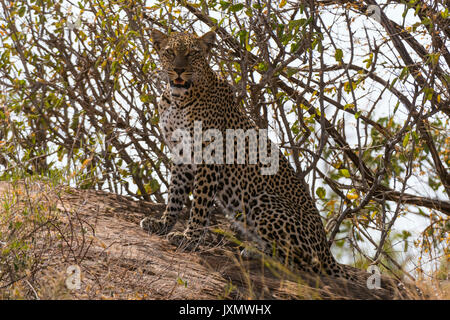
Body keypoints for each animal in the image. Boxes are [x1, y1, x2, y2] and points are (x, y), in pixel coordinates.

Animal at [141, 29, 358, 280]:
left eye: (192, 53)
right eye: (169, 52)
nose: (178, 69)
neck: (178, 100)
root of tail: (326, 250)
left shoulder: (208, 156)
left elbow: (200, 205)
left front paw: (190, 238)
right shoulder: (181, 154)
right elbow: (175, 196)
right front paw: (162, 224)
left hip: (263, 200)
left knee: (302, 262)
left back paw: (256, 252)